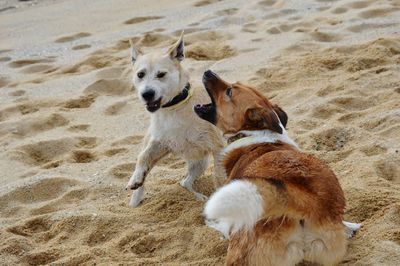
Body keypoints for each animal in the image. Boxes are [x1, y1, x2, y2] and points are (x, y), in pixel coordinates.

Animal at [125, 33, 225, 208]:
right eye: (140, 74)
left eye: (161, 74)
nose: (147, 94)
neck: (174, 109)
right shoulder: (161, 143)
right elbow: (143, 157)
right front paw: (136, 179)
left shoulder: (217, 147)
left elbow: (220, 177)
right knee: (181, 182)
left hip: (201, 162)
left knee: (185, 183)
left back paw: (198, 198)